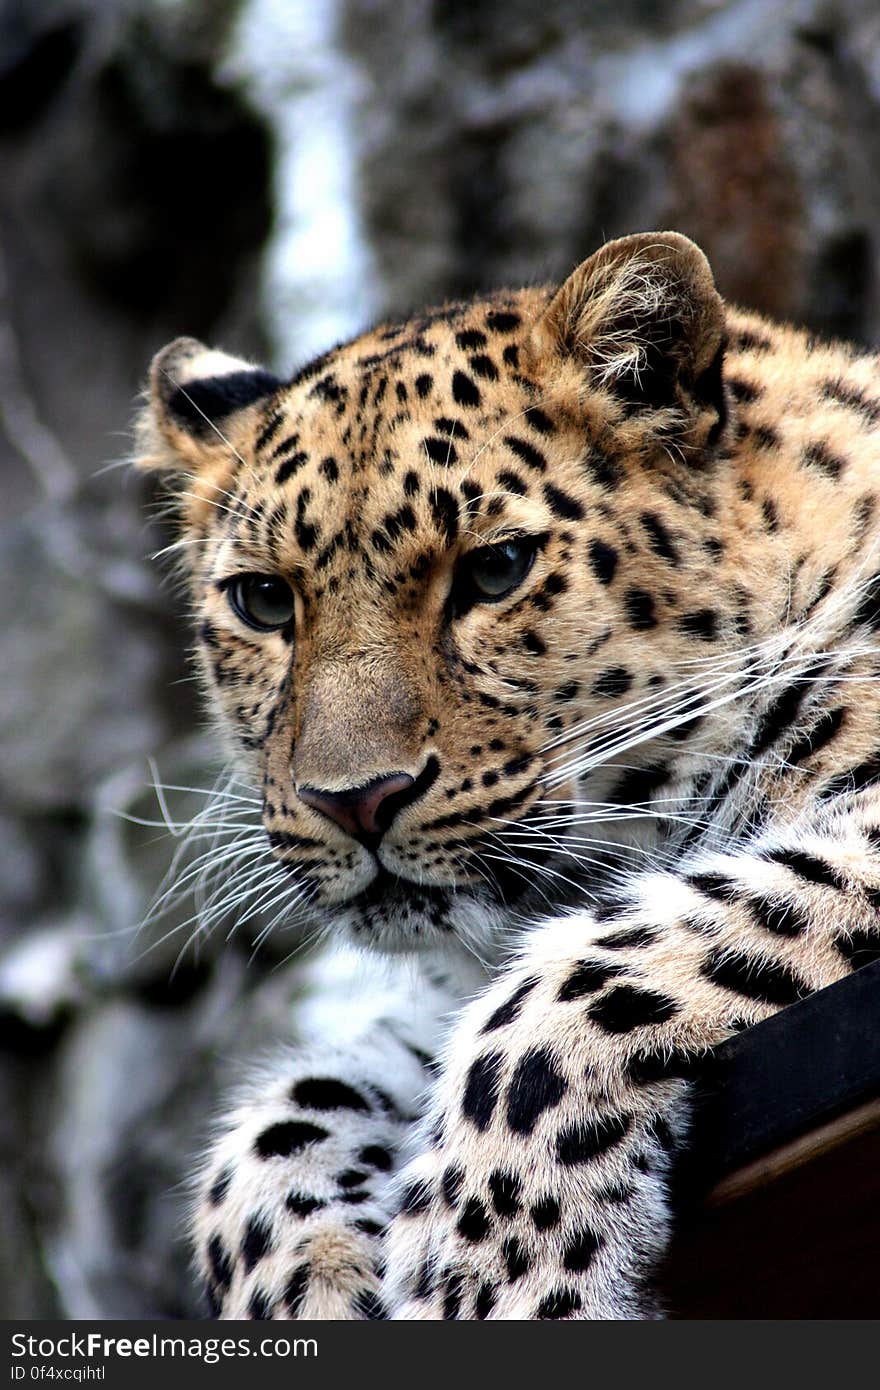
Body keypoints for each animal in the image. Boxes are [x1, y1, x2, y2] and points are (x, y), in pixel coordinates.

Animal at [134, 233, 878, 1317]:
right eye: (264, 601)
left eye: (496, 572)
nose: (352, 799)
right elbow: (281, 1119)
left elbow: (571, 984)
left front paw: (492, 1274)